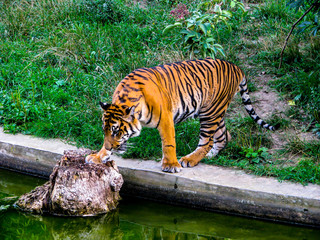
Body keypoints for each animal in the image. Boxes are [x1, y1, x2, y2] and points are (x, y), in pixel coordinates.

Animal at [85, 58, 278, 173]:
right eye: (105, 130)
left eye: (117, 131)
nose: (110, 147)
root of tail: (236, 67)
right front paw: (98, 156)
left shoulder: (166, 118)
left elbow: (169, 143)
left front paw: (171, 165)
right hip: (214, 112)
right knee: (224, 135)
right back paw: (209, 156)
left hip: (210, 113)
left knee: (207, 141)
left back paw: (190, 159)